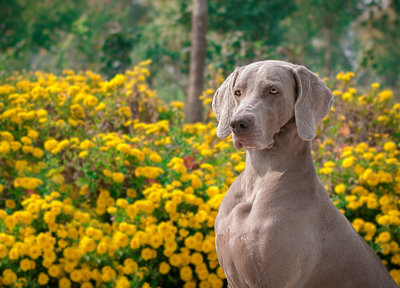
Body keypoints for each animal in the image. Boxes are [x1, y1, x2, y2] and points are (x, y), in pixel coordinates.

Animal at [212, 59, 396, 286]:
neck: (259, 179)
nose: (238, 123)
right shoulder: (233, 279)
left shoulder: (277, 279)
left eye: (273, 90)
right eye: (237, 92)